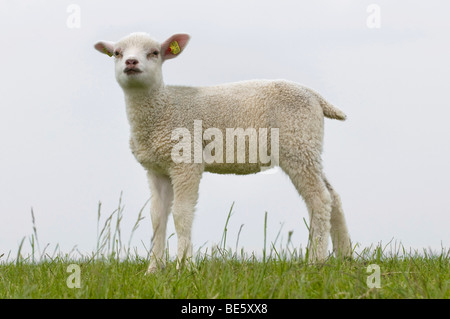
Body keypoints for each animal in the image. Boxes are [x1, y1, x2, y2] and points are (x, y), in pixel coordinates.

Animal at [93, 31, 352, 272]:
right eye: (117, 53)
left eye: (154, 53)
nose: (131, 62)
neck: (163, 108)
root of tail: (314, 96)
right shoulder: (157, 169)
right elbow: (158, 217)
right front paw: (153, 270)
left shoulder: (187, 160)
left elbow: (181, 213)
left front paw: (184, 267)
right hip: (308, 146)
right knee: (333, 196)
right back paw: (345, 256)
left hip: (297, 143)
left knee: (319, 198)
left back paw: (315, 261)